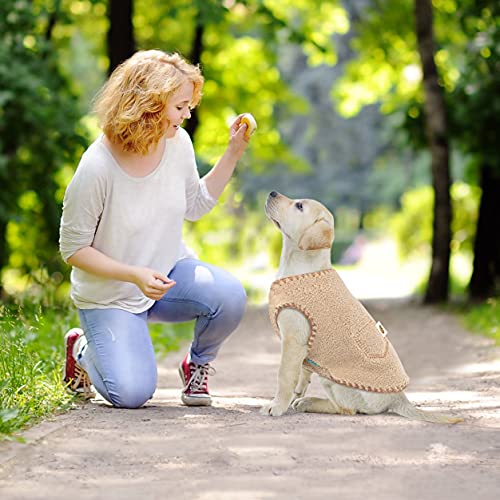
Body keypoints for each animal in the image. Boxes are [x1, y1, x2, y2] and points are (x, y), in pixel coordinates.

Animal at [262, 189, 460, 424]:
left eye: (299, 206)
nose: (272, 192)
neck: (301, 267)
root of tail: (398, 398)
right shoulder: (304, 348)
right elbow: (303, 371)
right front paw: (297, 391)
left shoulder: (293, 340)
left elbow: (284, 376)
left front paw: (276, 406)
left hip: (333, 378)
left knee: (345, 409)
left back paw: (310, 403)